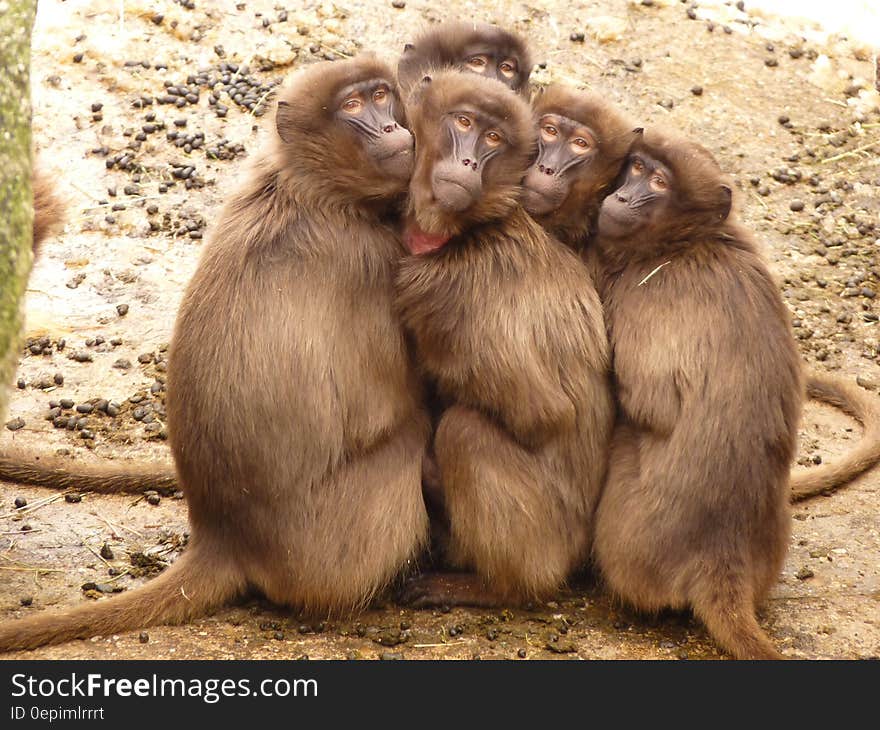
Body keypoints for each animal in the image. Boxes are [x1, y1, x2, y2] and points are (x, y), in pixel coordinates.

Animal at [0, 55, 430, 648]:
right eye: (352, 105)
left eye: (383, 95)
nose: (391, 127)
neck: (307, 188)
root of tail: (224, 534)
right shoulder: (371, 257)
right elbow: (391, 407)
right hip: (336, 549)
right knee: (414, 436)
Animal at [392, 69, 612, 604]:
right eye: (464, 122)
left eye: (492, 139)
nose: (468, 160)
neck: (465, 231)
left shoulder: (448, 291)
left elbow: (542, 414)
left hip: (546, 540)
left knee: (465, 432)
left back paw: (495, 588)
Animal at [592, 126, 804, 660]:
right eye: (637, 167)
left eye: (659, 182)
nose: (622, 197)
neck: (690, 242)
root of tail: (722, 557)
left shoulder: (647, 295)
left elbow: (648, 403)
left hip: (635, 538)